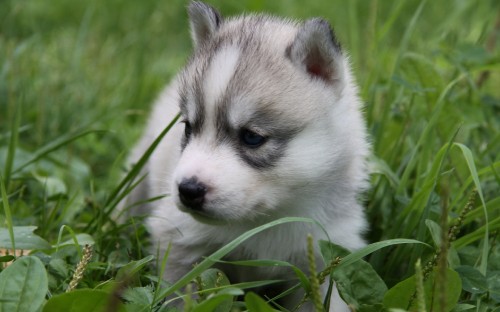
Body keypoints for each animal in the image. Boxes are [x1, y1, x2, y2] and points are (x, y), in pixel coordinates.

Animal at [123, 1, 370, 310]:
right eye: (189, 127)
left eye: (252, 137)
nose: (188, 190)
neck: (266, 219)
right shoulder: (180, 244)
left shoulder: (326, 257)